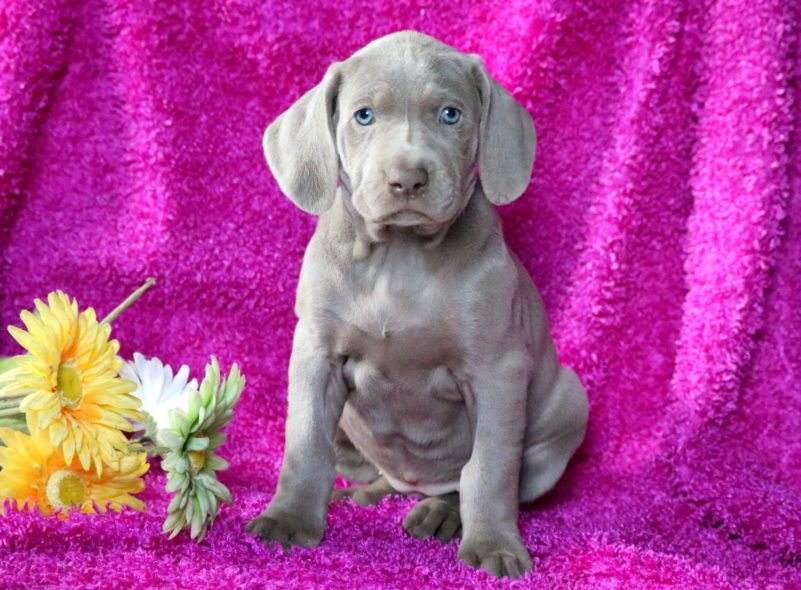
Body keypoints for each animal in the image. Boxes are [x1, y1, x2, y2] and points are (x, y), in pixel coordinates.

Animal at [247, 30, 592, 580]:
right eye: (363, 115)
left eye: (450, 114)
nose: (407, 178)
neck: (399, 255)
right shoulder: (315, 354)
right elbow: (304, 442)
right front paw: (289, 518)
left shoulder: (497, 370)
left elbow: (490, 466)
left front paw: (493, 544)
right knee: (382, 473)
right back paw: (366, 493)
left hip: (569, 402)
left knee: (469, 480)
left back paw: (440, 512)